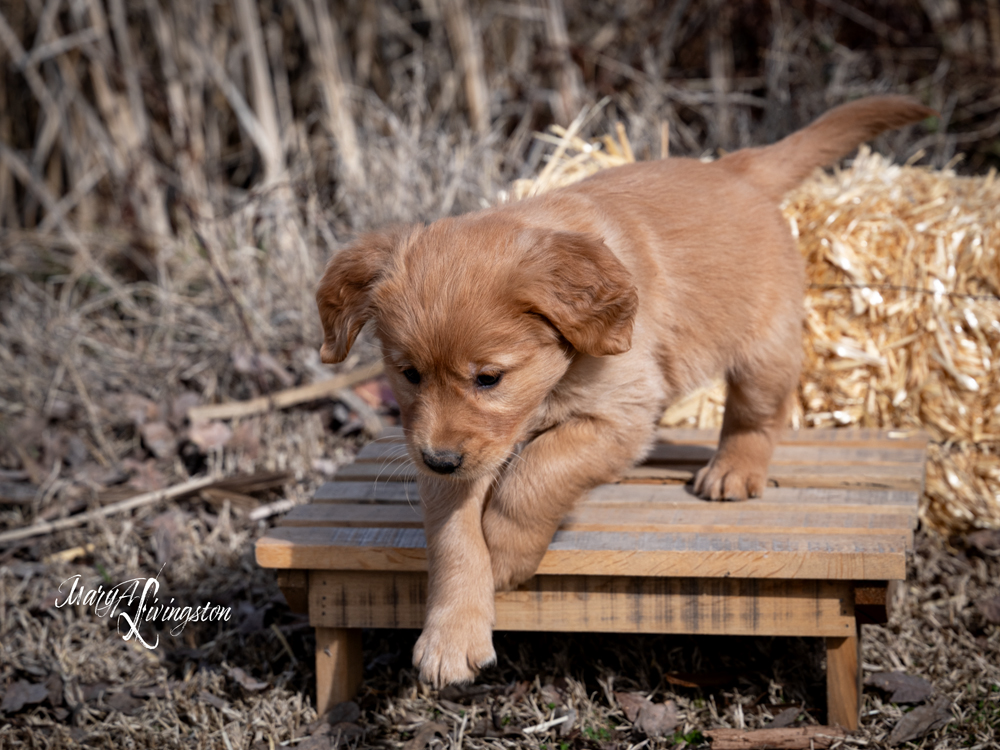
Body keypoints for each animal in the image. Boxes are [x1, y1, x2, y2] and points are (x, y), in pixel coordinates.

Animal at [316, 97, 932, 692]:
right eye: (409, 374)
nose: (440, 459)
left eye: (489, 378)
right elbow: (453, 539)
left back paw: (734, 469)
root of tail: (734, 168)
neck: (555, 380)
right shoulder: (449, 450)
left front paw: (506, 550)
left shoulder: (620, 418)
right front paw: (451, 635)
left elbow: (536, 473)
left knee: (757, 415)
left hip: (765, 345)